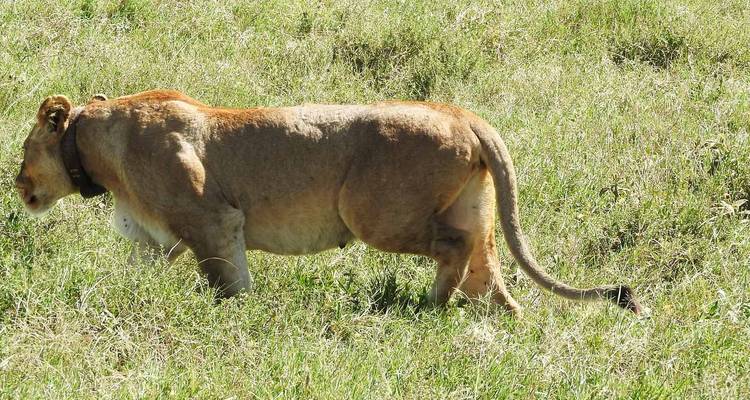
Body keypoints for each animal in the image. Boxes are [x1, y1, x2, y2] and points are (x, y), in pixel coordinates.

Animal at [15, 90, 640, 315]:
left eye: (23, 152)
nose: (17, 186)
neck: (97, 137)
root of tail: (461, 112)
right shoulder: (154, 238)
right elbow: (135, 275)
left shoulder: (213, 217)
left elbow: (226, 277)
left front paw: (238, 316)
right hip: (472, 209)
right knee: (491, 272)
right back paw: (494, 321)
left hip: (374, 213)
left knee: (455, 248)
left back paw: (431, 306)